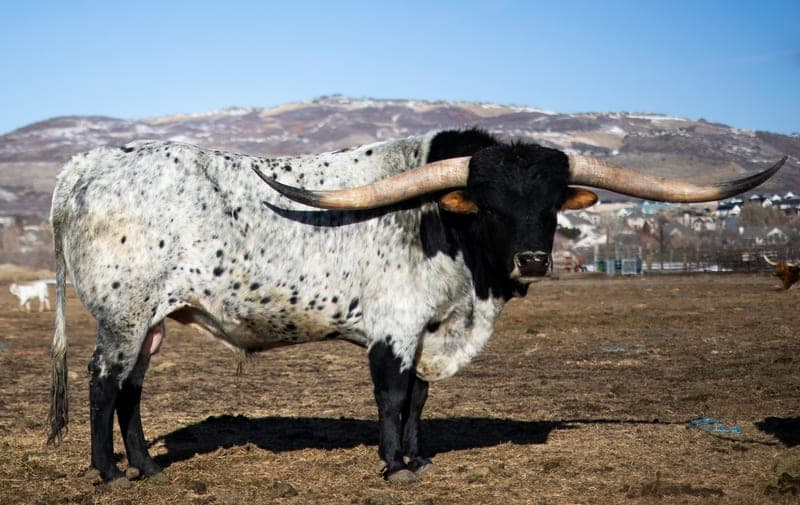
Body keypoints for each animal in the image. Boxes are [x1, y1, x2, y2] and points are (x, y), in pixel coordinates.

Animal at [47, 128, 785, 484]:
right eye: (489, 202)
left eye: (550, 204)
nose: (533, 260)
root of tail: (87, 165)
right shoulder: (394, 330)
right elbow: (394, 395)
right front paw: (395, 464)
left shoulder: (431, 328)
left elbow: (422, 401)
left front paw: (418, 457)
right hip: (123, 316)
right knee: (102, 383)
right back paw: (109, 472)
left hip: (152, 322)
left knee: (131, 391)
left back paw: (146, 466)